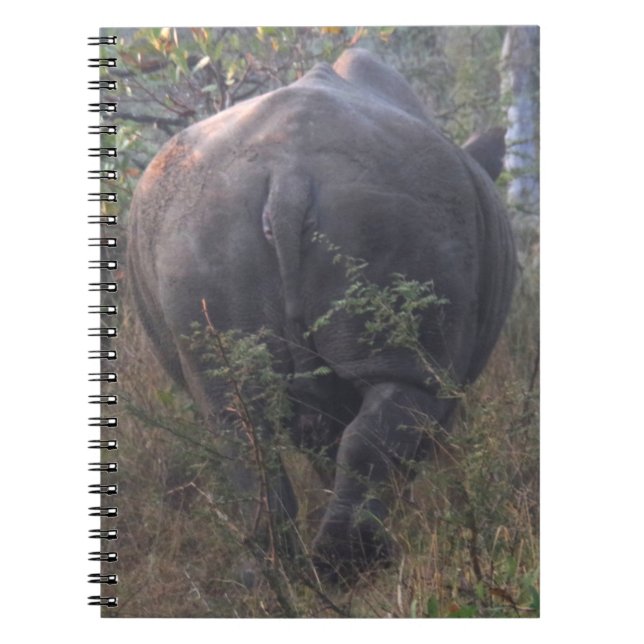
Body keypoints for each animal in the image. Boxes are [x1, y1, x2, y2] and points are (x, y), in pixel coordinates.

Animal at [127, 48, 516, 582]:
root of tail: (288, 178)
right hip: (391, 207)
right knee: (403, 389)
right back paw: (353, 563)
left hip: (198, 228)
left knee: (237, 419)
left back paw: (272, 573)